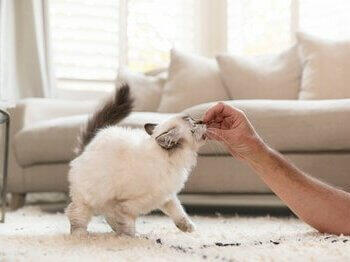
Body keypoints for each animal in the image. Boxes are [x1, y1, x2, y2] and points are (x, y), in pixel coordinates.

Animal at [66, 83, 206, 235]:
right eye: (193, 123)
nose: (202, 121)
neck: (172, 162)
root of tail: (87, 147)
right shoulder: (128, 205)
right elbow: (128, 224)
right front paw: (130, 238)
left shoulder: (166, 196)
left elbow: (179, 212)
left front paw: (188, 227)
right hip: (89, 199)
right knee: (75, 213)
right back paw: (80, 234)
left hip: (106, 201)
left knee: (108, 216)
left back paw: (115, 231)